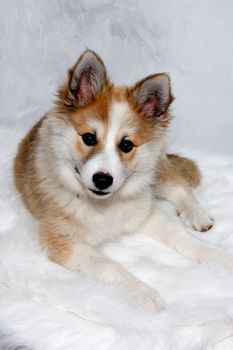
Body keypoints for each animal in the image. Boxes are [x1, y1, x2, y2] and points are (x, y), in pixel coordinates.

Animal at [14, 49, 231, 308]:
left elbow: (181, 236)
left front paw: (216, 255)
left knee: (178, 186)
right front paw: (145, 292)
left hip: (156, 166)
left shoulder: (143, 213)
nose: (102, 180)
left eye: (126, 145)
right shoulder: (61, 241)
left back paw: (196, 214)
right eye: (88, 138)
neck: (103, 205)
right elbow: (110, 265)